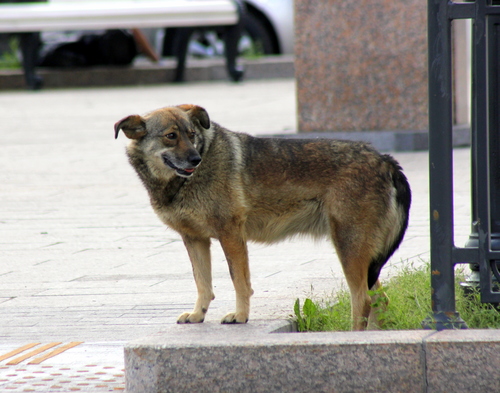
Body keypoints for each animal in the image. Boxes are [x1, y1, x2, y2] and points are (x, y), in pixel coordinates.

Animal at [114, 104, 410, 330]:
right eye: (171, 136)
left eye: (191, 134)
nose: (195, 159)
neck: (180, 184)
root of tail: (385, 159)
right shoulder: (195, 240)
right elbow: (203, 284)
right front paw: (198, 315)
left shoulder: (231, 235)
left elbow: (239, 282)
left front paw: (240, 316)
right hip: (364, 260)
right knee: (380, 300)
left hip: (349, 251)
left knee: (363, 302)